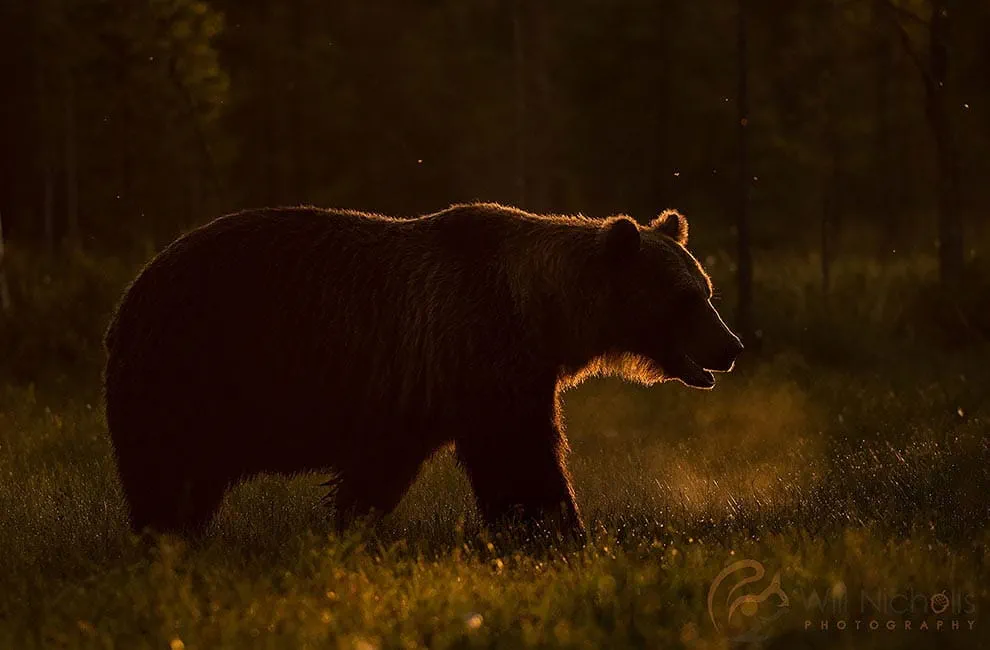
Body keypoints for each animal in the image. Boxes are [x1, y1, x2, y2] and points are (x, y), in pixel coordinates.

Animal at [104, 202, 742, 537]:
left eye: (707, 290)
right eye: (688, 299)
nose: (730, 345)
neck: (543, 314)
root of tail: (132, 291)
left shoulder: (417, 394)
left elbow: (379, 473)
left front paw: (348, 524)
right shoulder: (484, 356)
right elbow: (522, 459)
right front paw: (559, 533)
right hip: (190, 368)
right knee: (167, 468)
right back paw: (163, 536)